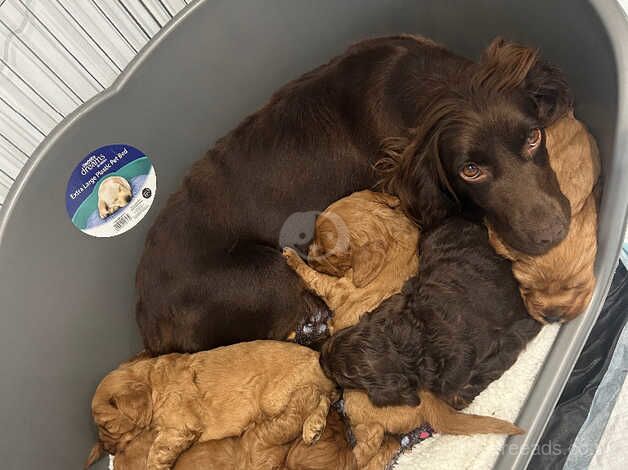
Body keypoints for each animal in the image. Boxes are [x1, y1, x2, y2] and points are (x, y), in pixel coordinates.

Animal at [87, 342, 338, 470]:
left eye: (107, 425)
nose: (107, 449)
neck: (152, 383)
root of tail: (317, 356)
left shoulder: (180, 428)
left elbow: (156, 453)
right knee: (326, 396)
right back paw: (313, 428)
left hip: (274, 397)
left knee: (317, 395)